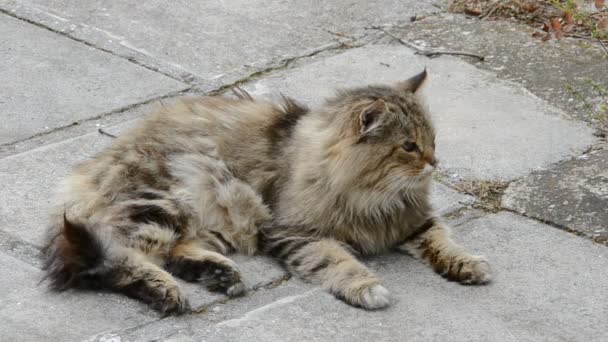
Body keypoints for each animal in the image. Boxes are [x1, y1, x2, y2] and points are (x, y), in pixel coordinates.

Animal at [42, 70, 492, 316]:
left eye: (432, 141)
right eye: (409, 147)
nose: (435, 162)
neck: (374, 198)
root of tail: (89, 169)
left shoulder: (415, 222)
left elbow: (444, 241)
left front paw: (467, 264)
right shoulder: (295, 233)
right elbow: (336, 260)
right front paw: (366, 286)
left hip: (209, 220)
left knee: (173, 252)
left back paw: (220, 276)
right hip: (165, 204)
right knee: (117, 257)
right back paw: (167, 292)